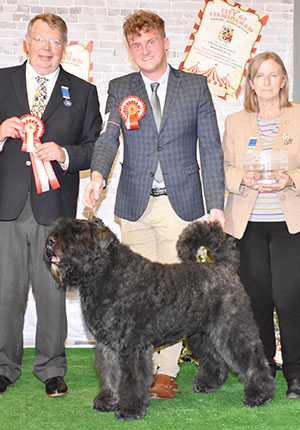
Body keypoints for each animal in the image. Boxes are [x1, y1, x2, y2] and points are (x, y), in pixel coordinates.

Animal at [44, 218, 274, 420]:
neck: (107, 274)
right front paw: (107, 401)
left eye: (77, 233)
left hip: (232, 329)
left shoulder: (132, 347)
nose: (51, 241)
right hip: (200, 334)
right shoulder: (107, 346)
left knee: (253, 360)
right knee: (214, 359)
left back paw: (260, 395)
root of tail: (224, 267)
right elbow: (110, 375)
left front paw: (129, 410)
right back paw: (208, 384)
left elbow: (131, 379)